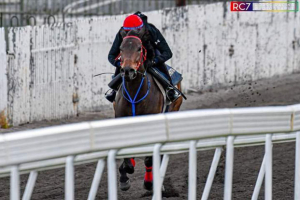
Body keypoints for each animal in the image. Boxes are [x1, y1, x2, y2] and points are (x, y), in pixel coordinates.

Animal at [112, 30, 183, 191]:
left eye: (139, 48)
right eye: (121, 49)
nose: (128, 70)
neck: (134, 94)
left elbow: (149, 159)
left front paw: (149, 182)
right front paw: (125, 175)